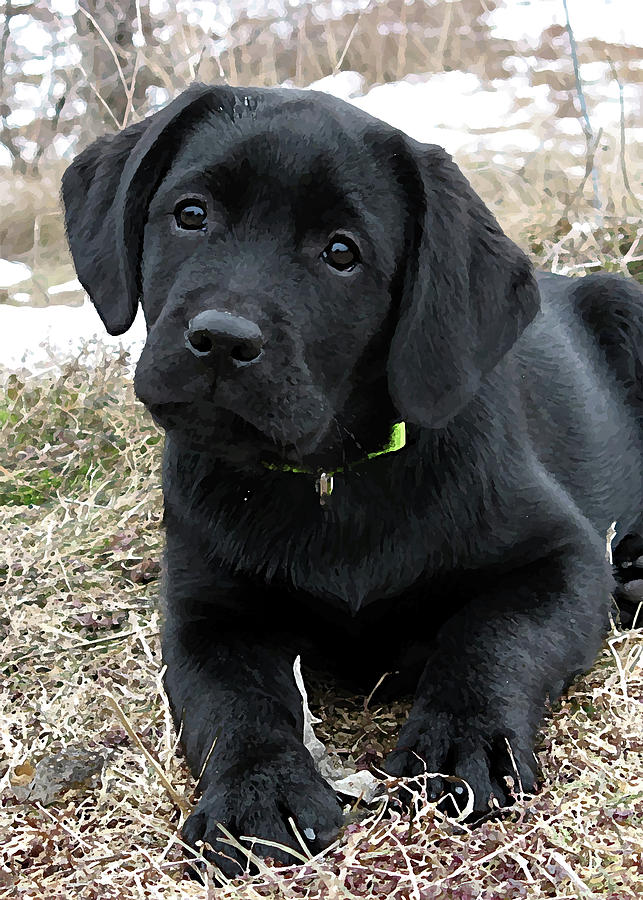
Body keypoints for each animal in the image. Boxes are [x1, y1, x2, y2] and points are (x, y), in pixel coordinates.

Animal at [61, 84, 643, 872]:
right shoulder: (203, 611)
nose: (221, 339)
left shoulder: (564, 556)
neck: (330, 481)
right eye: (191, 214)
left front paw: (457, 742)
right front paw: (257, 793)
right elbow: (233, 700)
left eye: (341, 253)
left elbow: (493, 638)